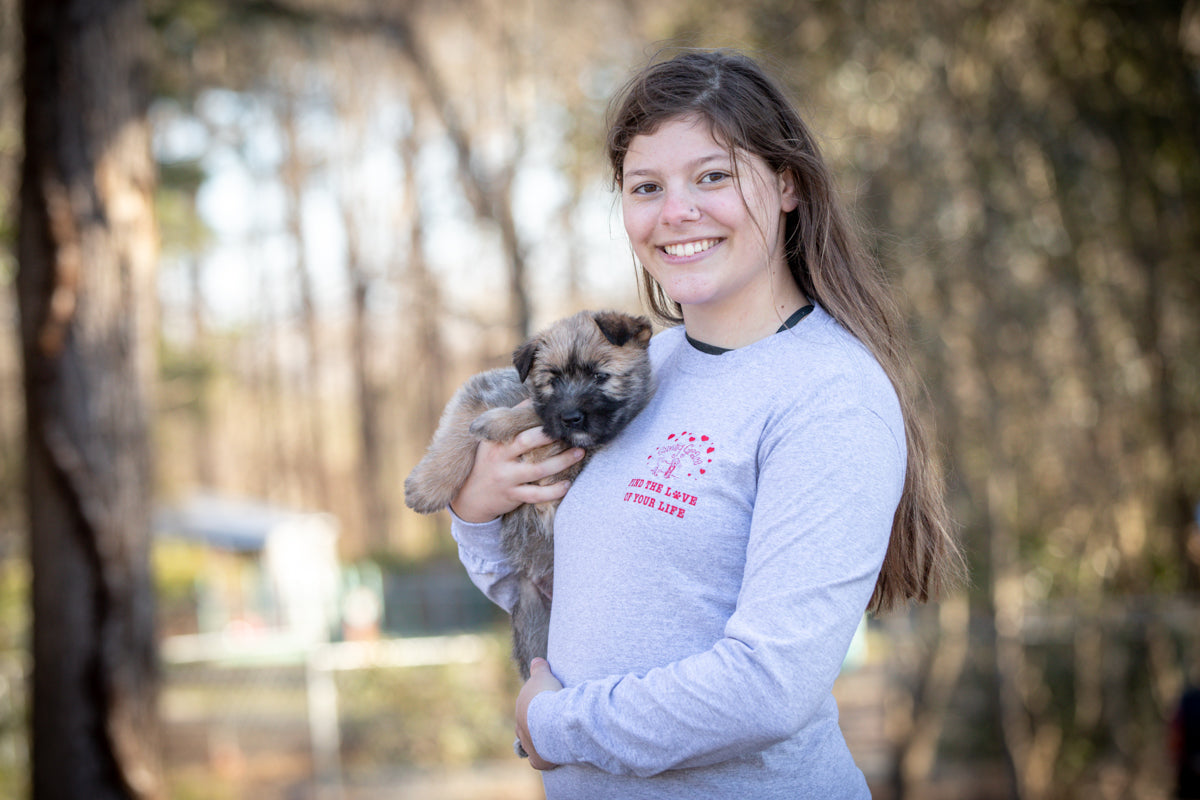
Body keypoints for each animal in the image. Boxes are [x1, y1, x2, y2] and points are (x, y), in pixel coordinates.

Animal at [403, 309, 652, 681]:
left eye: (600, 376)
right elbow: (462, 429)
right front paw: (427, 486)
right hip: (533, 621)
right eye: (552, 380)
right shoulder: (481, 390)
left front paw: (503, 422)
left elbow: (533, 414)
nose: (571, 417)